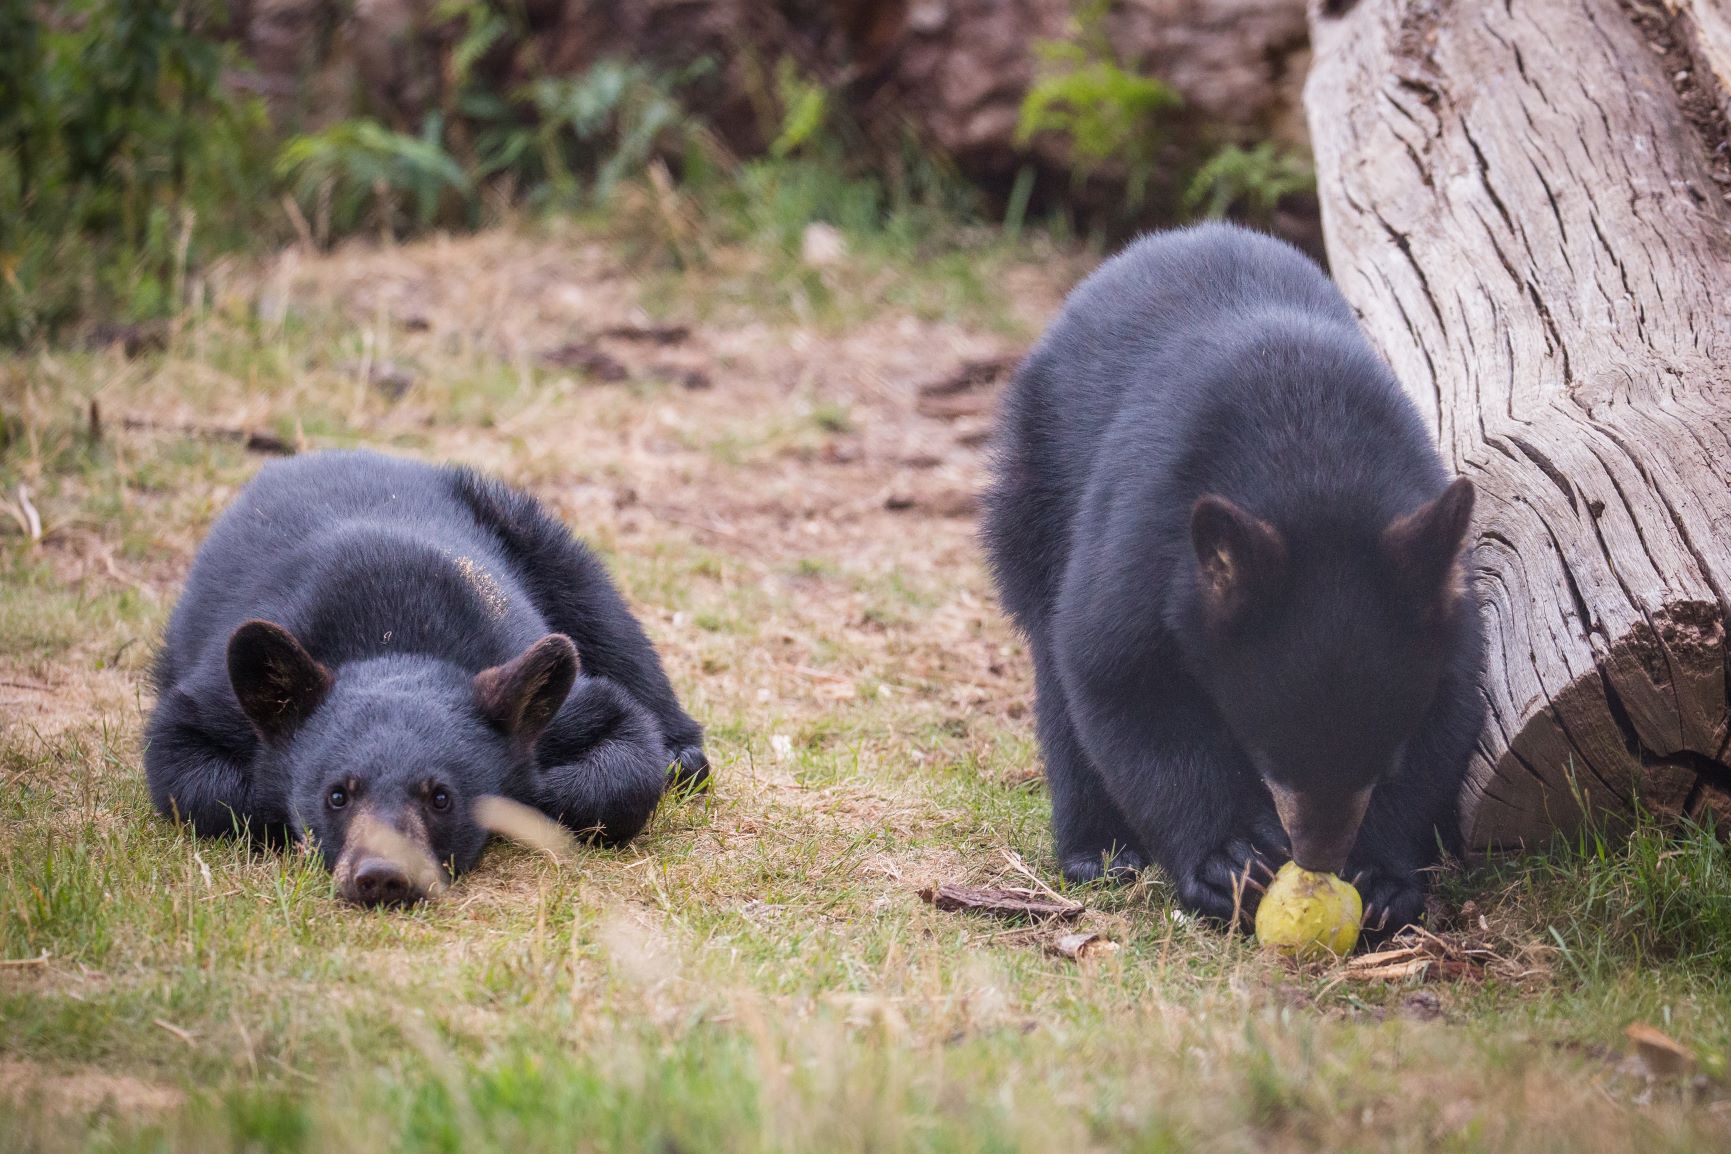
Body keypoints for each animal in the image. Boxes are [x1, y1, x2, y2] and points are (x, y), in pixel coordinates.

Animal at [145, 446, 706, 906]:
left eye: (441, 797)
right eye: (336, 794)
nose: (381, 875)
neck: (393, 636)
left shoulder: (528, 672)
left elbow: (619, 736)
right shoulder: (222, 698)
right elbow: (184, 763)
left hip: (528, 530)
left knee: (606, 615)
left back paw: (683, 751)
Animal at [990, 224, 1488, 941]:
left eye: (1381, 761)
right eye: (1270, 759)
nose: (1319, 858)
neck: (1315, 464)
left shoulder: (1447, 612)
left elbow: (1449, 718)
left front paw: (1382, 878)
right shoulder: (1146, 541)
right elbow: (1119, 683)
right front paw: (1228, 860)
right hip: (1036, 493)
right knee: (1054, 674)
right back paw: (1098, 852)